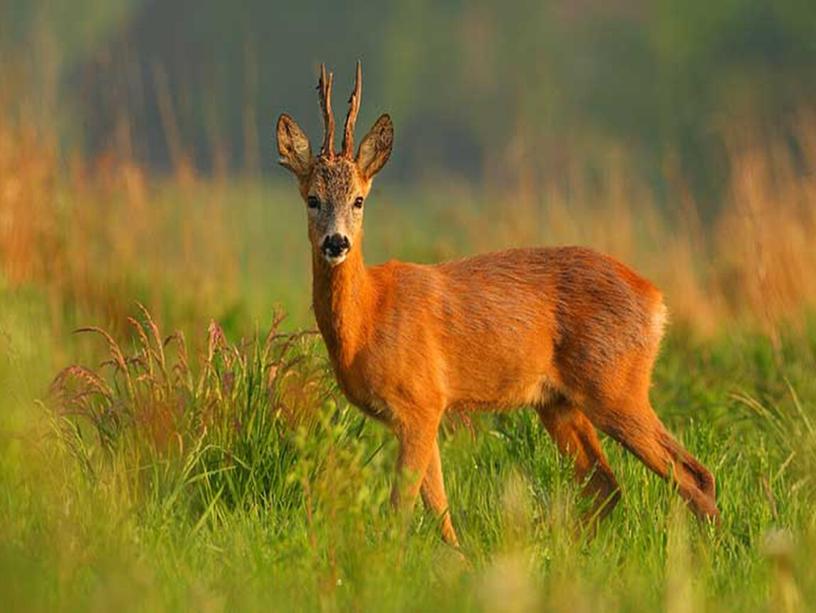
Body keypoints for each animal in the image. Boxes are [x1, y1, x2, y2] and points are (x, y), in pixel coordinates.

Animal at [276, 62, 720, 544]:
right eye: (313, 199)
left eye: (359, 199)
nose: (336, 242)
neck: (368, 317)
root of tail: (656, 300)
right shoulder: (421, 412)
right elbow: (439, 507)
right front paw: (458, 557)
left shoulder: (420, 401)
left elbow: (403, 507)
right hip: (558, 402)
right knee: (606, 484)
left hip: (615, 385)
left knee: (692, 475)